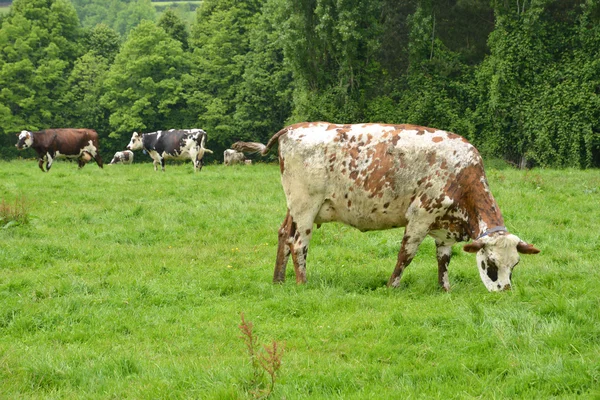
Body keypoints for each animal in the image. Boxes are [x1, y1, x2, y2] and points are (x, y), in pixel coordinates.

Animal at [260, 120, 540, 292]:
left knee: (284, 235)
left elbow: (444, 259)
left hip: (295, 207)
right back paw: (302, 283)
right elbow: (406, 254)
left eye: (514, 265)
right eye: (490, 263)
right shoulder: (420, 215)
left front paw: (445, 288)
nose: (504, 292)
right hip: (305, 206)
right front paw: (391, 286)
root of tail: (294, 127)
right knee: (298, 244)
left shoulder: (444, 227)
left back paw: (278, 280)